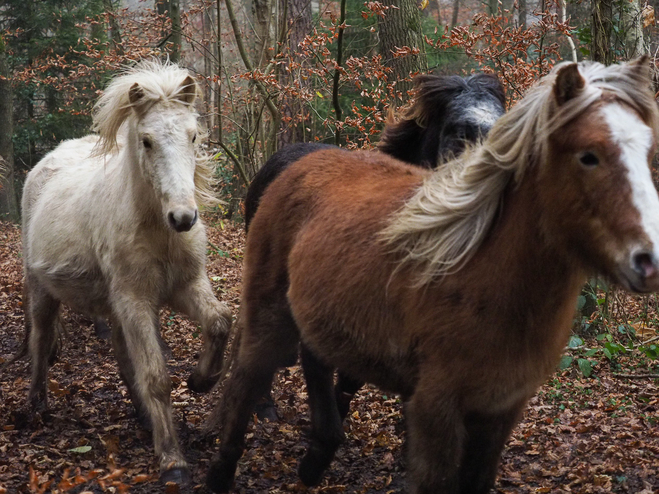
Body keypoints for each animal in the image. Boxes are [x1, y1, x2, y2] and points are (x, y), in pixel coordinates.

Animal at [22, 59, 232, 484]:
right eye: (147, 141)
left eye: (193, 135)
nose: (184, 217)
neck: (157, 229)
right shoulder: (136, 300)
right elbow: (155, 376)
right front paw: (172, 461)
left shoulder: (186, 286)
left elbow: (220, 321)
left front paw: (201, 380)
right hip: (43, 292)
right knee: (40, 339)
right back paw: (36, 405)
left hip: (115, 306)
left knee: (121, 356)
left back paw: (143, 416)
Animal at [209, 58, 659, 494]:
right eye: (588, 155)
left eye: (646, 151)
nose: (648, 259)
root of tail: (299, 163)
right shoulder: (436, 407)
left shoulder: (499, 411)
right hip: (268, 315)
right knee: (245, 381)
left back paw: (316, 458)